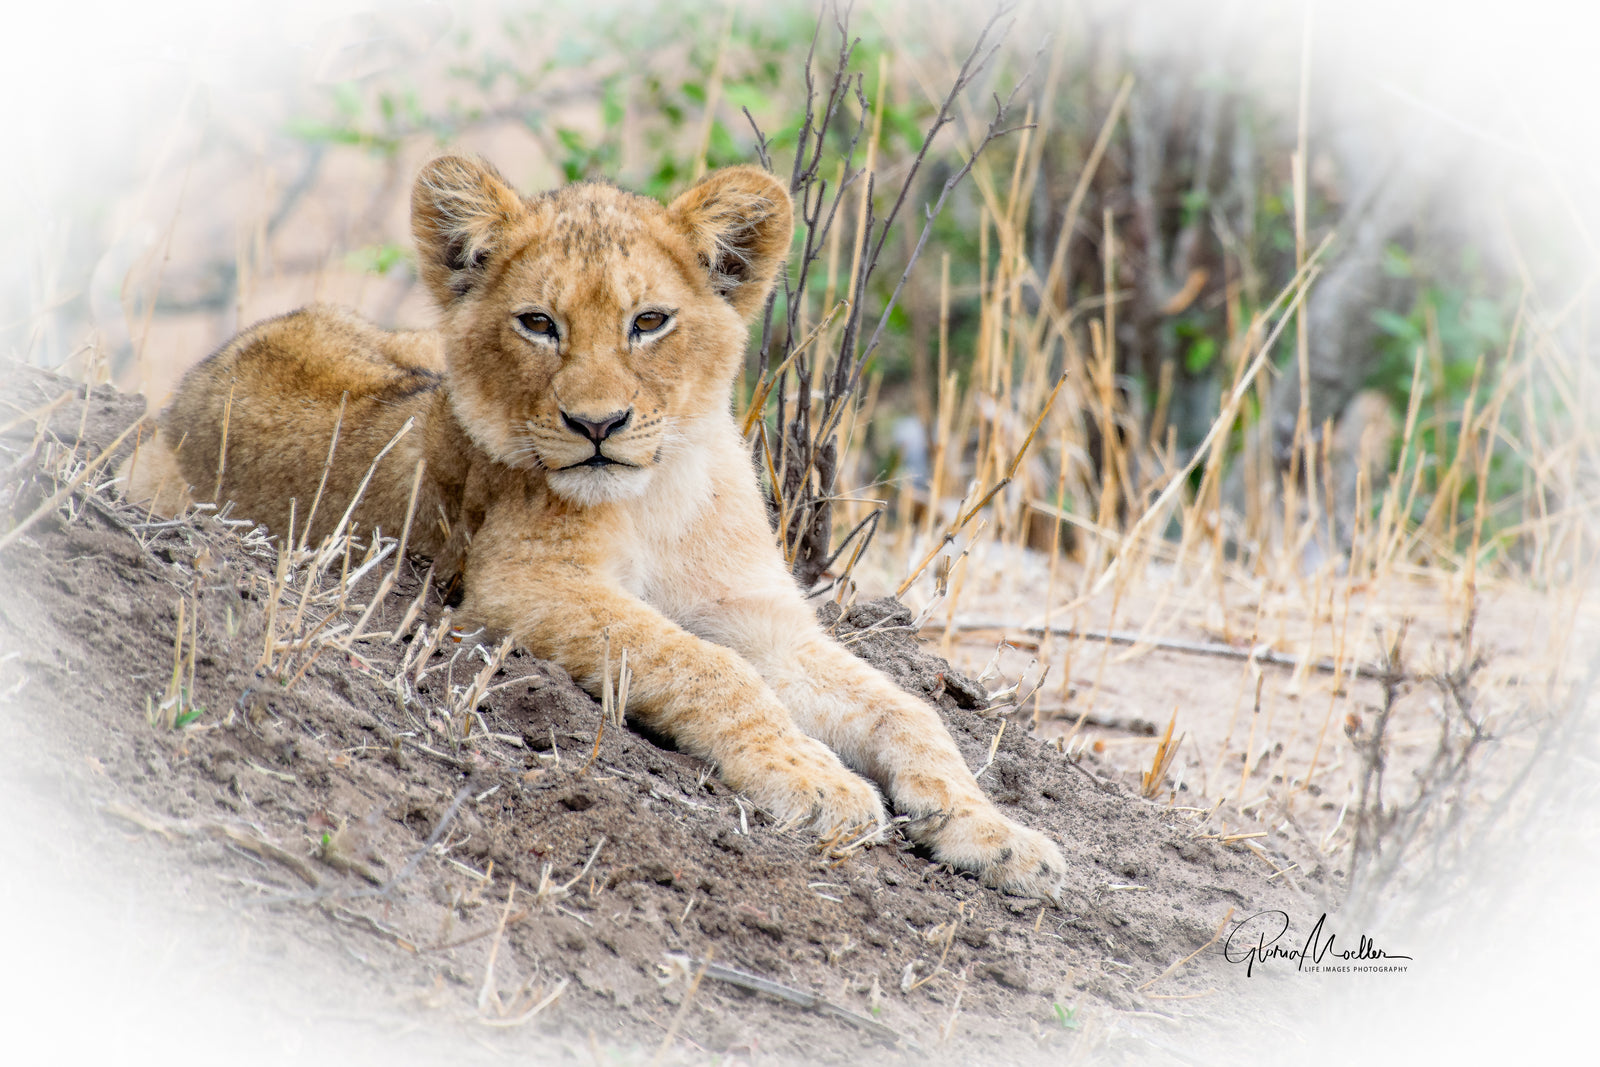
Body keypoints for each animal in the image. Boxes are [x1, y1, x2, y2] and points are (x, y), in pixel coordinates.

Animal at [129, 156, 1067, 898]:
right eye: (538, 323)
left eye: (648, 321)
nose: (597, 425)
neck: (664, 494)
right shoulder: (523, 584)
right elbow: (706, 666)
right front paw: (814, 778)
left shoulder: (762, 616)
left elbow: (909, 709)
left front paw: (998, 833)